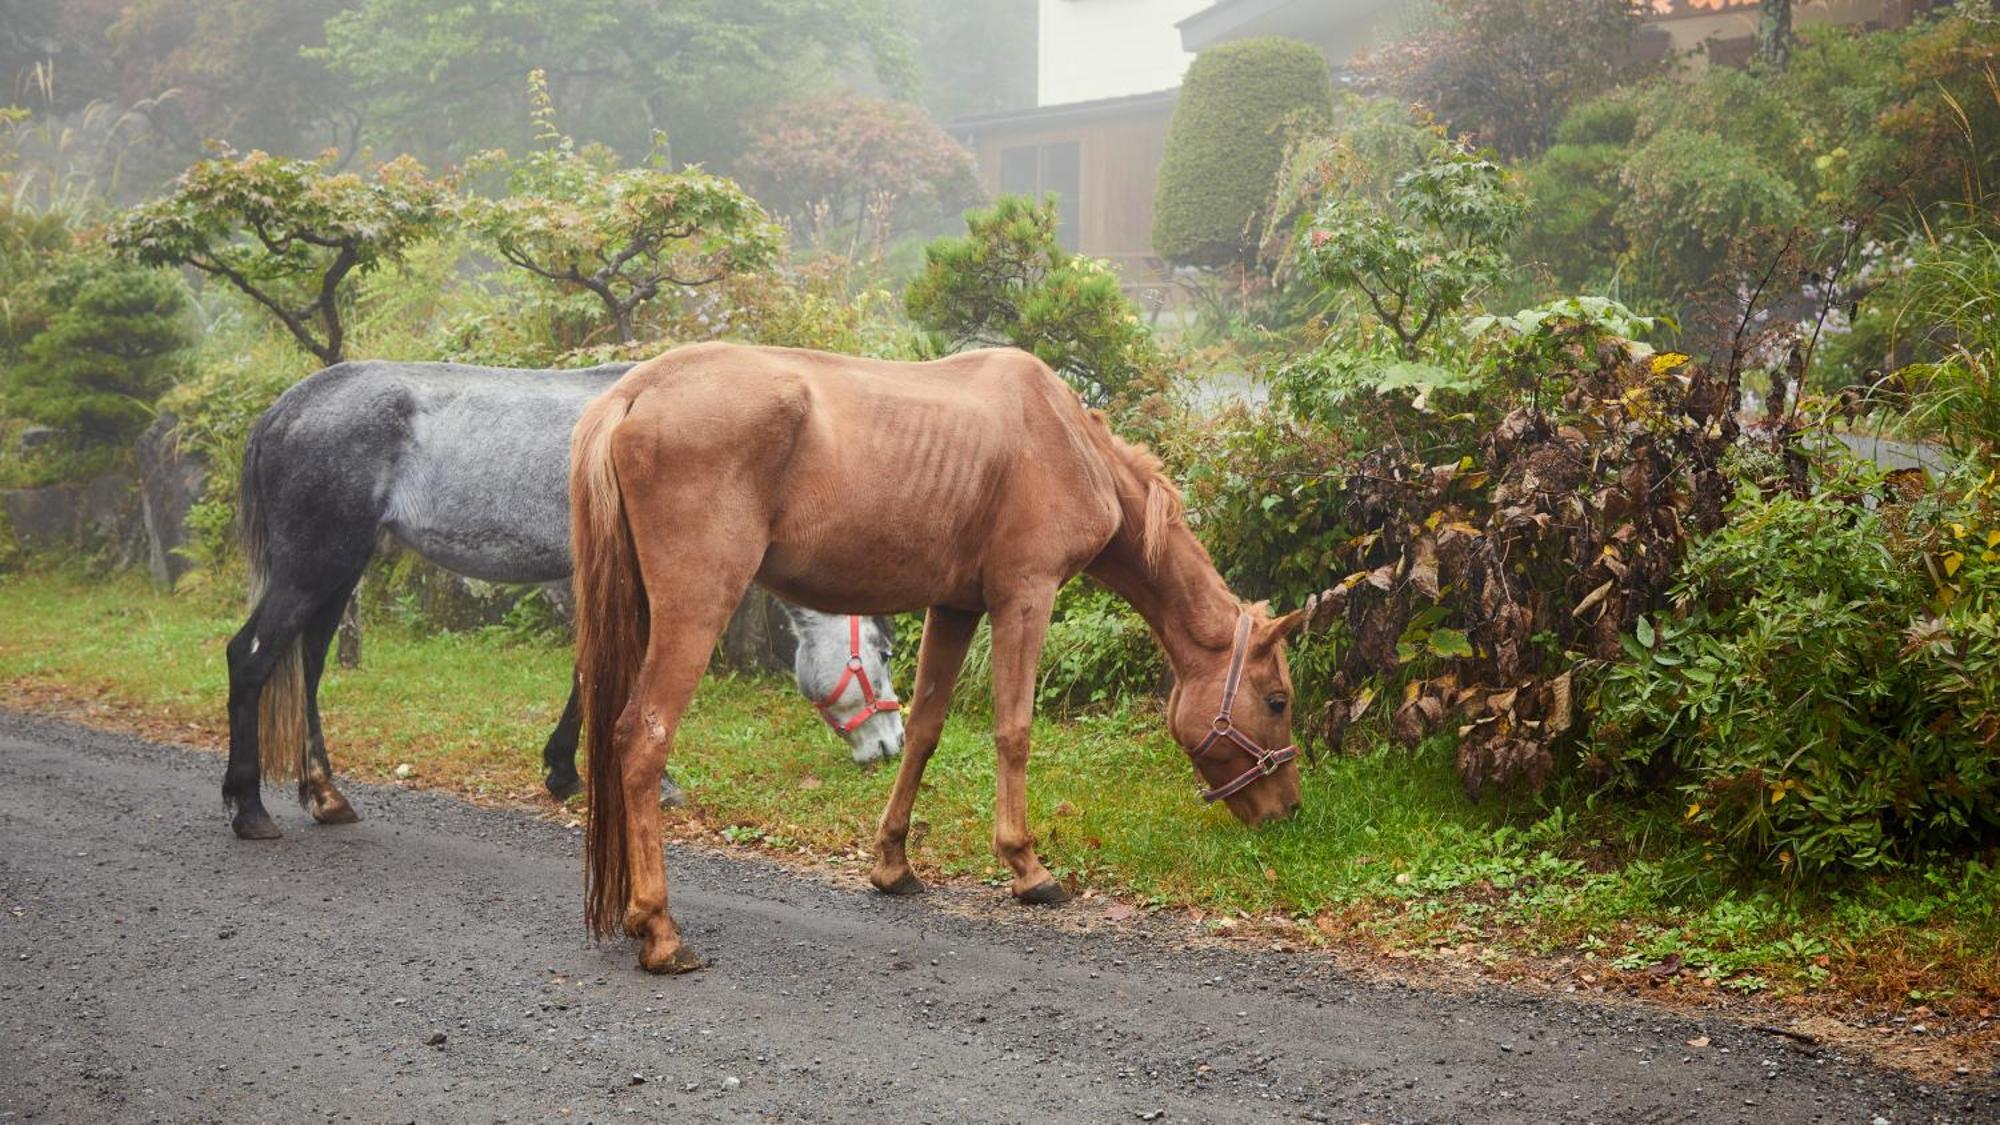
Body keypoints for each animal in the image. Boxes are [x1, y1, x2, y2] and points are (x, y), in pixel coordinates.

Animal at [223, 354, 904, 836]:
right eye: (883, 651)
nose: (891, 746)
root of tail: (284, 410)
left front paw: (563, 771)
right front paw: (640, 779)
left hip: (338, 571)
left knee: (306, 667)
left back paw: (326, 795)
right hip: (314, 566)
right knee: (250, 658)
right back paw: (248, 808)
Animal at [572, 336, 1304, 968]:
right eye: (1277, 700)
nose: (1289, 810)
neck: (1068, 440)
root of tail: (635, 391)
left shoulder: (954, 609)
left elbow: (924, 729)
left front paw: (892, 863)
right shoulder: (1025, 597)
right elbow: (1014, 730)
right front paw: (1026, 866)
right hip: (695, 606)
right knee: (642, 739)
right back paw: (660, 928)